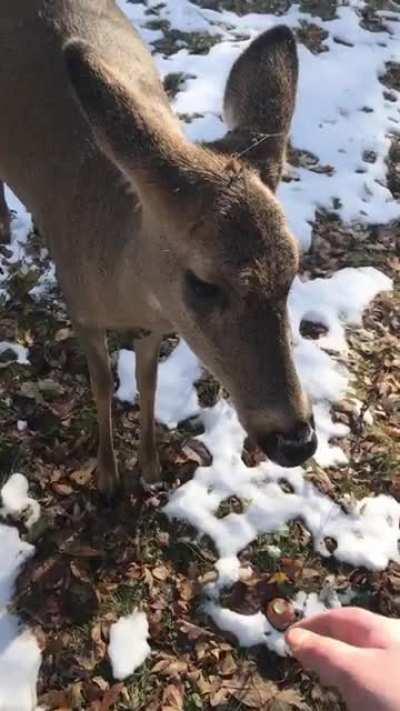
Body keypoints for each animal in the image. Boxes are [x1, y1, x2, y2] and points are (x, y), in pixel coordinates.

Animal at [0, 0, 317, 499]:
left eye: (293, 271)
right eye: (204, 284)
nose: (297, 440)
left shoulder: (159, 322)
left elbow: (146, 382)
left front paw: (149, 469)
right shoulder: (80, 307)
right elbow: (102, 382)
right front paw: (108, 477)